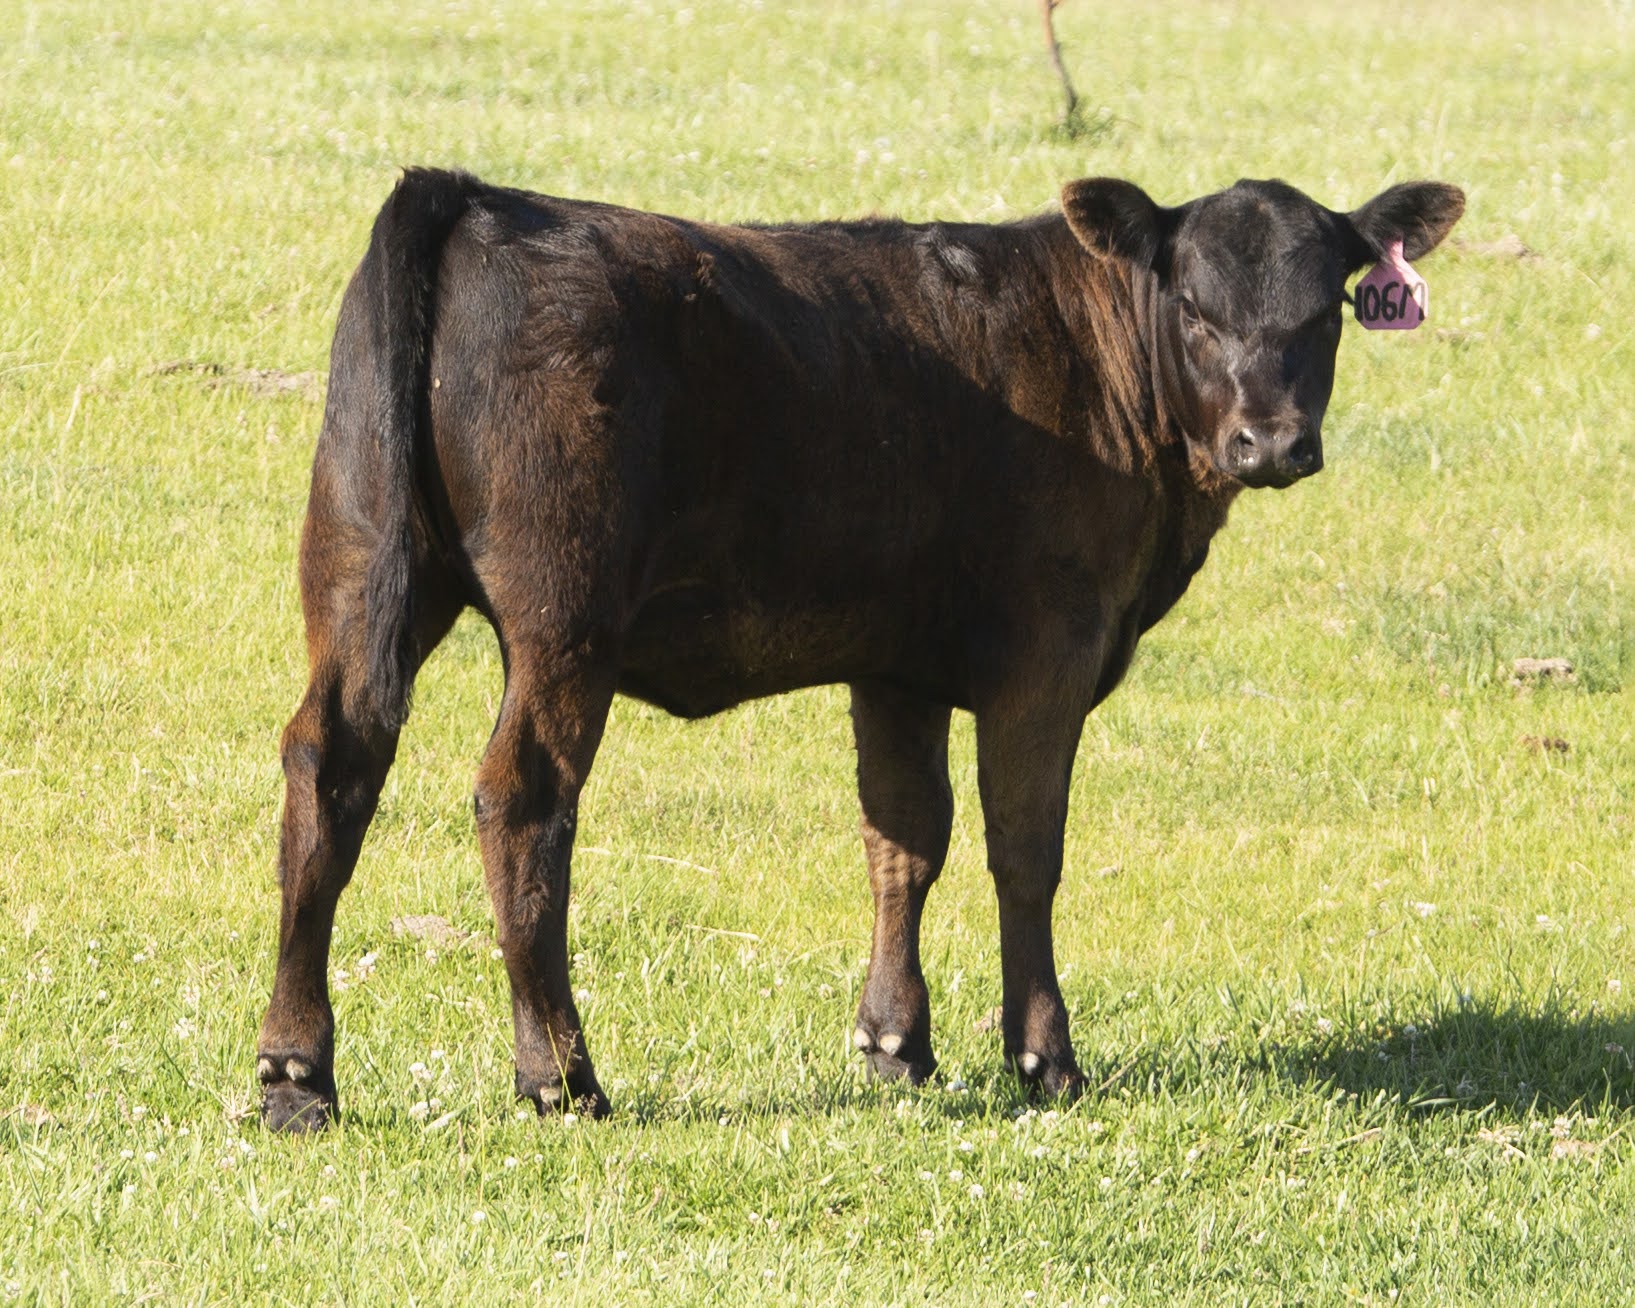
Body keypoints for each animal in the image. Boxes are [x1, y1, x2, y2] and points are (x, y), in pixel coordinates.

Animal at [256, 167, 1463, 1131]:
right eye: (1196, 309)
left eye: (1325, 313)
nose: (1271, 442)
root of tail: (478, 196)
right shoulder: (1048, 652)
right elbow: (1024, 849)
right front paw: (1044, 1058)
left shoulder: (895, 661)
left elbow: (904, 839)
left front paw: (896, 1046)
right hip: (564, 620)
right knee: (522, 802)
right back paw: (560, 1075)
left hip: (359, 565)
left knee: (331, 768)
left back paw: (296, 1075)